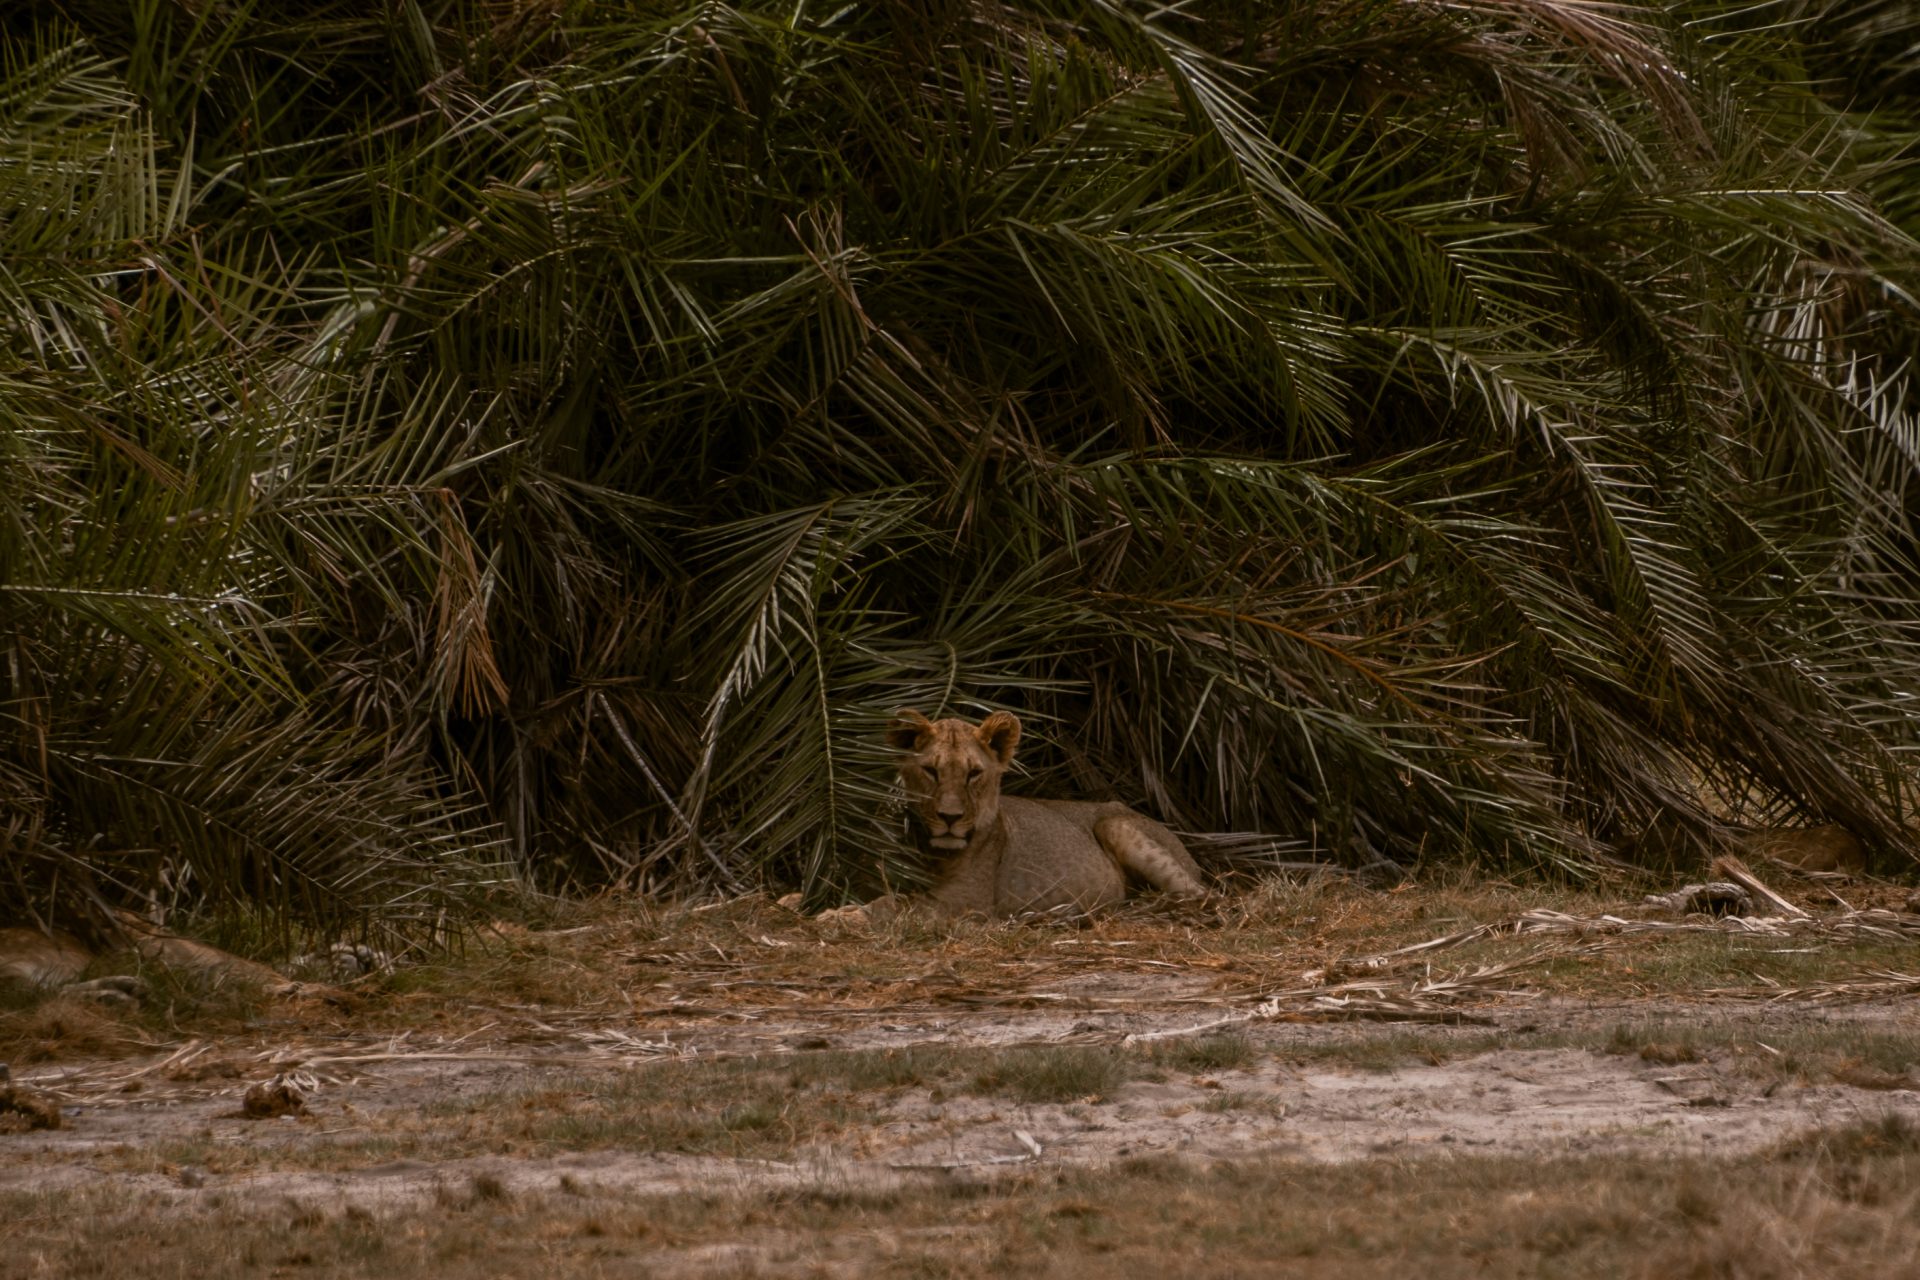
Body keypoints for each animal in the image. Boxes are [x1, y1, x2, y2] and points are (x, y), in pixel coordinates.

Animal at [837, 710, 1205, 921]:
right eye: (931, 771)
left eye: (973, 773)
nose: (950, 817)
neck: (927, 850)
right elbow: (886, 897)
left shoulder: (964, 903)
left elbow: (895, 904)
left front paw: (843, 919)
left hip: (1114, 824)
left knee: (1204, 894)